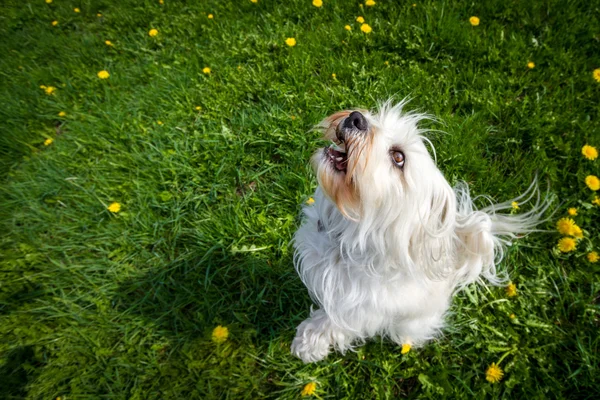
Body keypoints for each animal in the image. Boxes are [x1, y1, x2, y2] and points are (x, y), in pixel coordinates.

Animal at [290, 100, 548, 362]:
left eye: (398, 157)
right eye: (376, 116)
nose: (356, 118)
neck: (349, 235)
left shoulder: (357, 309)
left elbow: (331, 324)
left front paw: (308, 344)